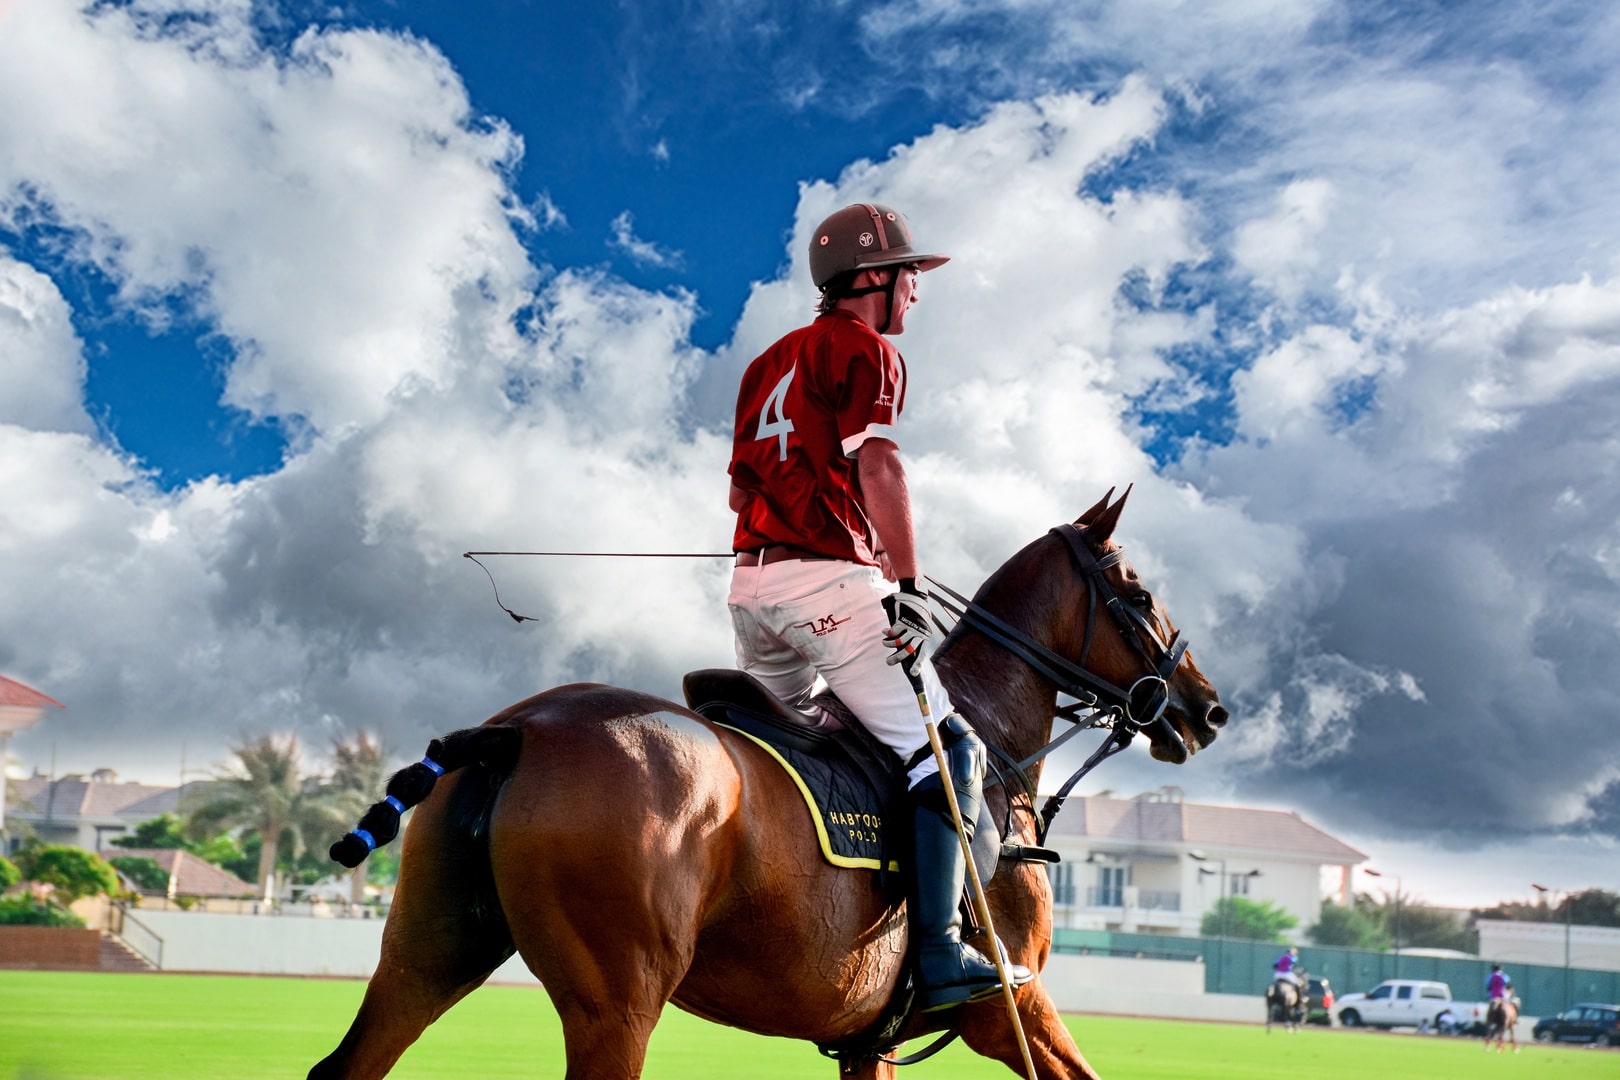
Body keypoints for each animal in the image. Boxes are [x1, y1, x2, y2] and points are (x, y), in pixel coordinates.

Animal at [306, 492, 1224, 1080]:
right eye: (1141, 593)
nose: (1206, 709)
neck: (991, 740)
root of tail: (519, 728)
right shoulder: (1008, 1008)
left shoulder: (868, 1040)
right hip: (617, 1004)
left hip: (429, 952)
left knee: (349, 1062)